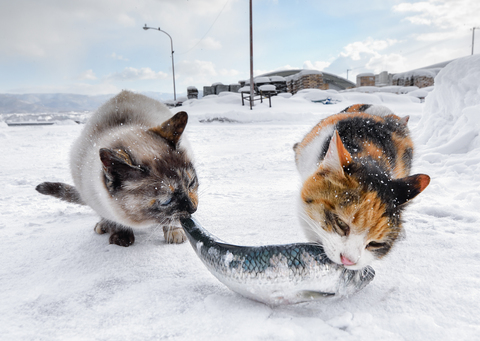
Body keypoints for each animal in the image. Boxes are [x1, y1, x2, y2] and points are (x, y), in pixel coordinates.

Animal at [35, 89, 197, 246]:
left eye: (191, 183)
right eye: (166, 201)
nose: (193, 208)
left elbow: (171, 221)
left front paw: (174, 232)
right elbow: (115, 220)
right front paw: (121, 236)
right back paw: (102, 226)